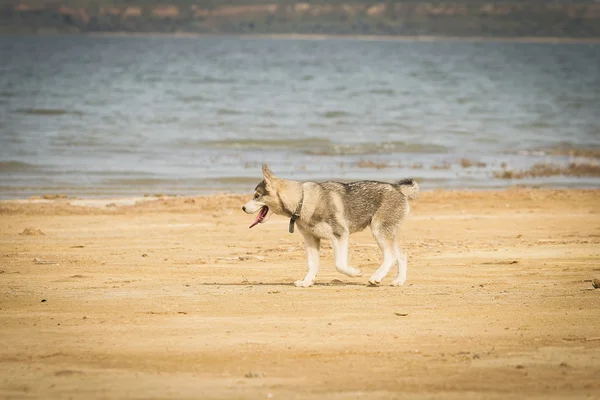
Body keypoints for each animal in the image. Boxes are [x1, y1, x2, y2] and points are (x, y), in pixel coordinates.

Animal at [241, 165, 420, 288]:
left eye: (256, 196)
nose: (243, 208)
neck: (302, 200)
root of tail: (397, 188)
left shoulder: (340, 235)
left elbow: (339, 264)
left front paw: (355, 273)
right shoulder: (311, 239)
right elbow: (312, 264)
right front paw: (307, 282)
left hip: (379, 231)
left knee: (391, 255)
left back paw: (376, 278)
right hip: (386, 233)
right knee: (401, 254)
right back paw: (399, 280)